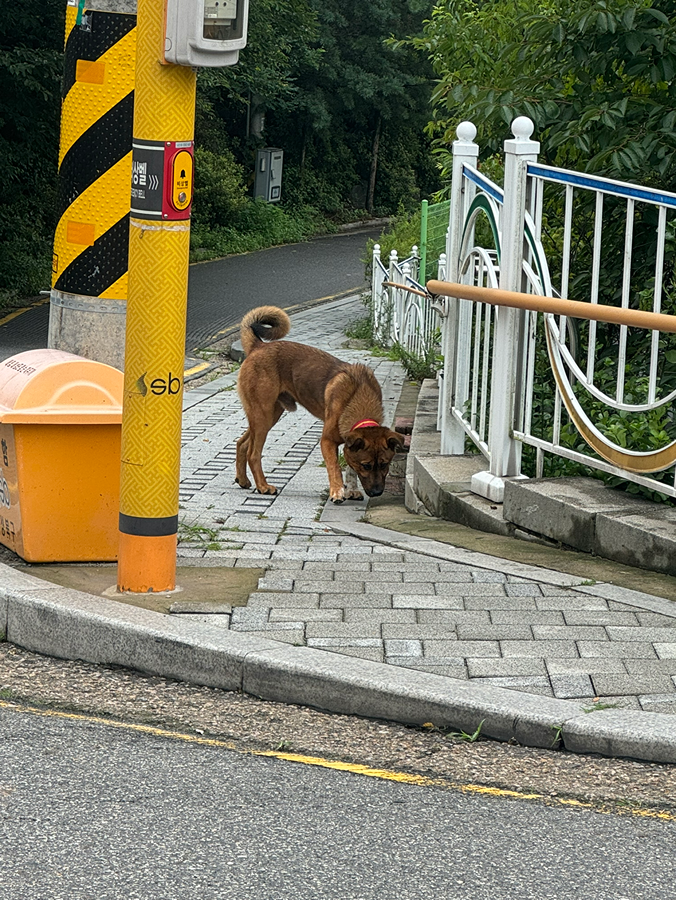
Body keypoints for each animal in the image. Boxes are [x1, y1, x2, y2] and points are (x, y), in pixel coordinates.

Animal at [235, 306, 404, 502]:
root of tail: (258, 346)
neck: (358, 398)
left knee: (242, 443)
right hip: (263, 414)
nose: (377, 493)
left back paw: (243, 480)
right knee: (253, 454)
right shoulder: (327, 441)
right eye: (366, 466)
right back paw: (263, 486)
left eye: (385, 465)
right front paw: (337, 491)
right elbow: (335, 467)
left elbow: (350, 470)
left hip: (268, 416)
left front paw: (351, 490)